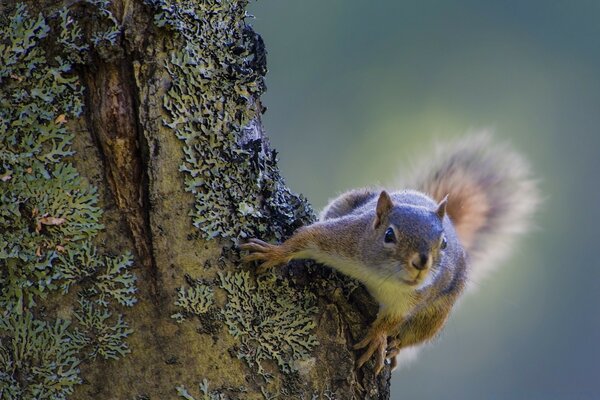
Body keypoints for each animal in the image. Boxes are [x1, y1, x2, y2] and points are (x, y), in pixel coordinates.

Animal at [239, 134, 540, 376]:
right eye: (389, 235)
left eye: (443, 243)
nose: (421, 263)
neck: (380, 276)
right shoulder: (344, 239)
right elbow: (307, 237)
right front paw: (274, 253)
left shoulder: (409, 300)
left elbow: (392, 320)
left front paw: (377, 338)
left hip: (436, 315)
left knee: (413, 336)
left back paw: (394, 349)